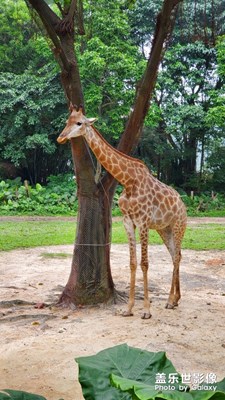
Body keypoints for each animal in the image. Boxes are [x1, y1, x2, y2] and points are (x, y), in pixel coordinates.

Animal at [57, 105, 187, 318]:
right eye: (67, 121)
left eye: (79, 123)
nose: (61, 137)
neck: (127, 181)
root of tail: (183, 204)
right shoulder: (128, 221)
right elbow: (132, 262)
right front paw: (129, 308)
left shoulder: (143, 221)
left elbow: (144, 263)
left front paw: (146, 310)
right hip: (164, 229)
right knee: (176, 255)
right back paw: (174, 300)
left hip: (178, 226)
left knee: (176, 256)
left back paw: (170, 300)